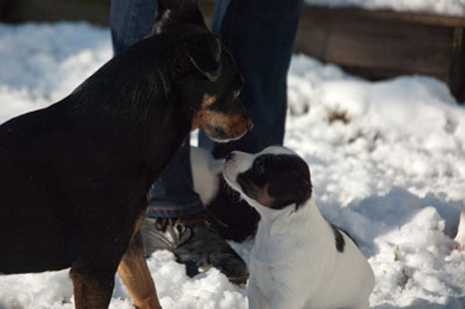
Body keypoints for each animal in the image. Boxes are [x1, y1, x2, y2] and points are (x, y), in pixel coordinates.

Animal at [0, 1, 250, 306]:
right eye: (236, 88)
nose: (250, 123)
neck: (117, 131)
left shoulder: (126, 246)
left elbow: (146, 291)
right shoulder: (95, 266)